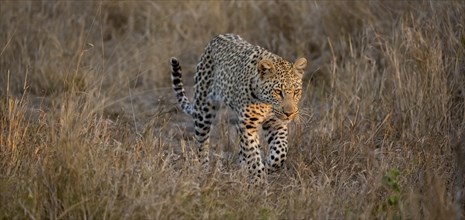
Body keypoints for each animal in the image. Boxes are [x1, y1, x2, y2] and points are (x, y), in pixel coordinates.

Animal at [169, 33, 306, 184]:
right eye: (278, 92)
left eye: (296, 92)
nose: (290, 113)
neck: (266, 104)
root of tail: (218, 37)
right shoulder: (248, 124)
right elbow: (253, 155)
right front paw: (259, 180)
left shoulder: (276, 123)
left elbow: (280, 152)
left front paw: (268, 166)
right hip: (203, 109)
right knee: (202, 143)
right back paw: (203, 170)